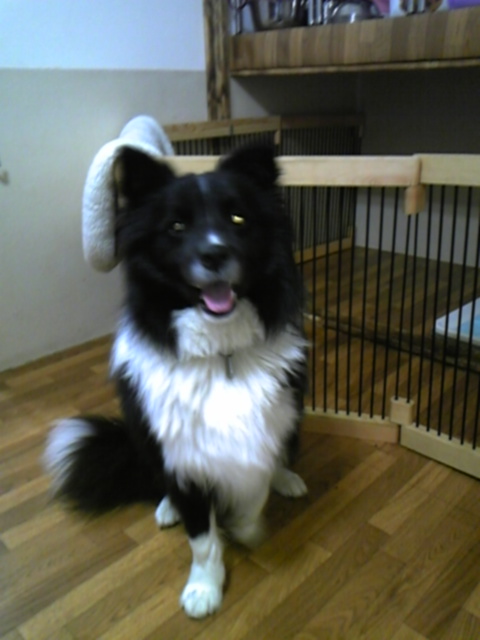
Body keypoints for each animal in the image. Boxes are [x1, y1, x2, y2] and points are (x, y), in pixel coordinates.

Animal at [44, 144, 308, 618]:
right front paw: (205, 587)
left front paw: (246, 526)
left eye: (238, 218)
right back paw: (167, 507)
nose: (214, 255)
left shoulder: (259, 437)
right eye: (176, 226)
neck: (221, 354)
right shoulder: (183, 456)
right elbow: (201, 537)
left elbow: (252, 493)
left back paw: (287, 478)